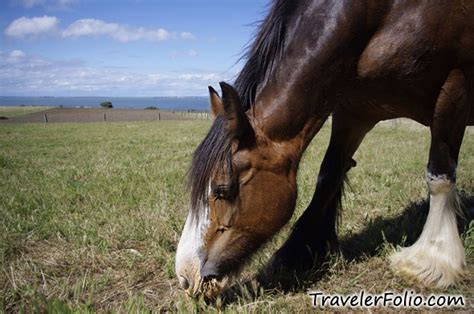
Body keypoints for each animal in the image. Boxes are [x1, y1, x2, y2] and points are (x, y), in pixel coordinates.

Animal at [175, 0, 474, 296]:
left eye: (222, 190)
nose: (186, 276)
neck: (387, 14)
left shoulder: (456, 87)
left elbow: (440, 176)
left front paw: (430, 261)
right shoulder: (354, 110)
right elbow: (329, 176)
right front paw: (298, 253)